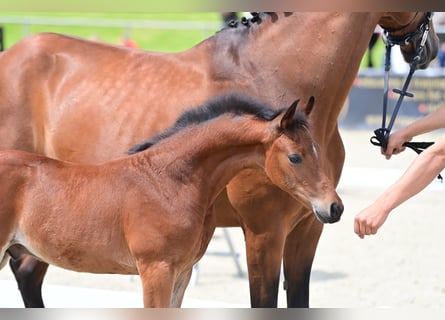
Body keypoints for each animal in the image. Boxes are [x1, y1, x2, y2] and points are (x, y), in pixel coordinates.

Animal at [0, 94, 342, 308]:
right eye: (295, 157)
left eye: (317, 149)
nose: (333, 207)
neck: (168, 182)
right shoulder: (156, 270)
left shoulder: (182, 272)